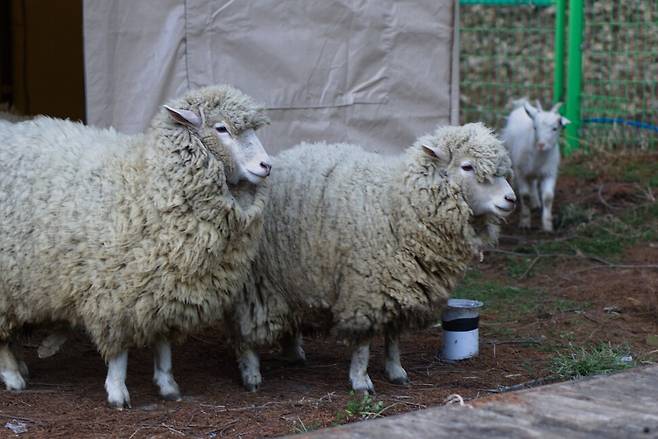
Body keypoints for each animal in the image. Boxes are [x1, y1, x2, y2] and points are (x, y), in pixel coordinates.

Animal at [0, 84, 272, 408]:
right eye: (222, 129)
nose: (267, 165)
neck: (151, 184)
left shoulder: (165, 288)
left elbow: (163, 344)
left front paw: (168, 385)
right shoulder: (115, 293)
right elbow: (119, 354)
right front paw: (117, 392)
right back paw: (13, 376)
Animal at [229, 122, 512, 394]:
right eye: (467, 166)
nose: (511, 198)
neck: (398, 204)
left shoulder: (402, 285)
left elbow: (394, 337)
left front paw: (396, 371)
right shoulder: (365, 289)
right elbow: (363, 344)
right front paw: (361, 381)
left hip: (291, 275)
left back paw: (293, 353)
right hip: (256, 281)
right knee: (244, 330)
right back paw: (251, 374)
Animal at [502, 100, 568, 234]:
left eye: (555, 128)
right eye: (535, 127)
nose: (541, 144)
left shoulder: (549, 173)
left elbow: (548, 197)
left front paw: (547, 226)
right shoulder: (521, 173)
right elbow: (525, 195)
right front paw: (525, 222)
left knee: (533, 182)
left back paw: (536, 203)